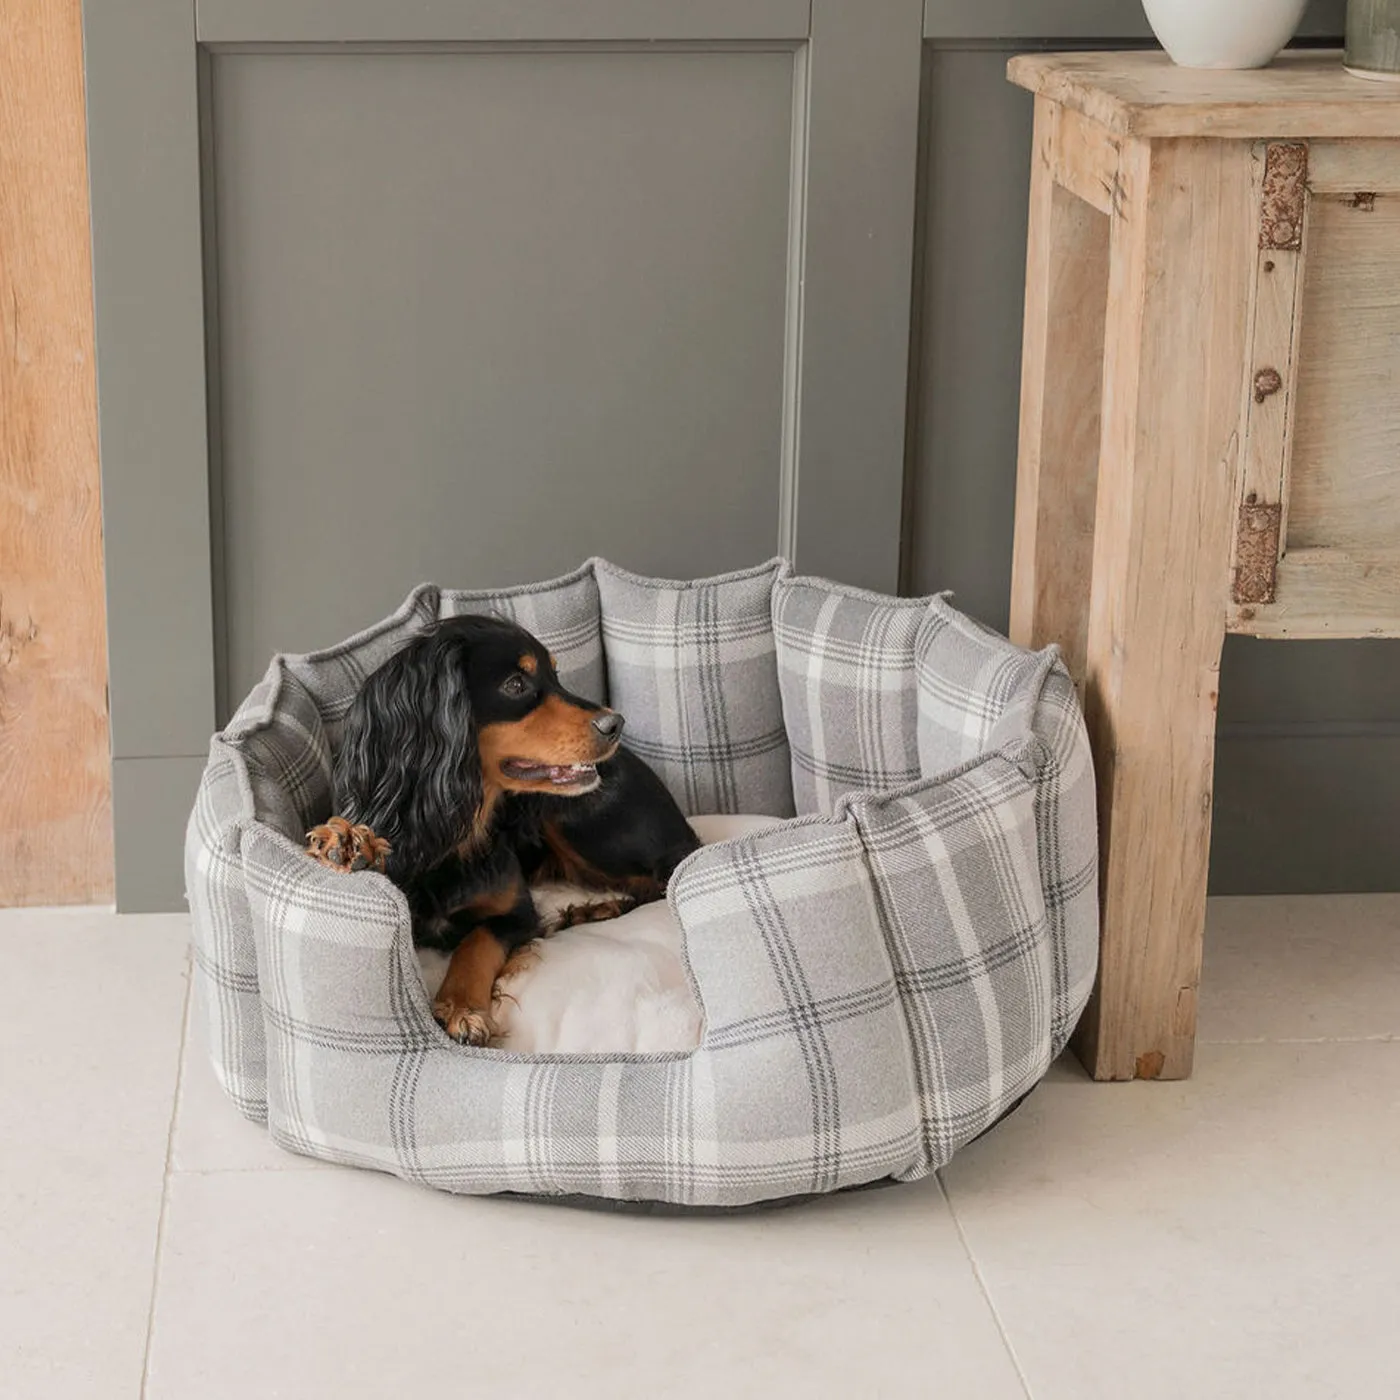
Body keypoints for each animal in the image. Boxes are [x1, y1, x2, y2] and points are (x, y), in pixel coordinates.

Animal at [308, 613, 700, 1041]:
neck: (452, 829)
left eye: (555, 675)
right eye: (515, 685)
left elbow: (477, 940)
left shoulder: (516, 913)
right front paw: (342, 844)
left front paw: (461, 1007)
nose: (615, 724)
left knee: (662, 878)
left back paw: (596, 910)